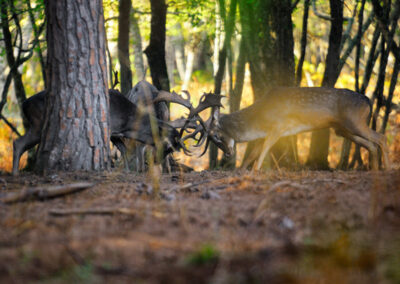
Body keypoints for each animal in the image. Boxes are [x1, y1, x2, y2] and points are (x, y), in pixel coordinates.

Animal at [188, 87, 390, 170]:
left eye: (215, 135)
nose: (228, 154)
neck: (259, 118)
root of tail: (369, 102)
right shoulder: (264, 134)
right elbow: (253, 153)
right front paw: (240, 170)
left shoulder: (278, 127)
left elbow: (263, 152)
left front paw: (255, 171)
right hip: (342, 129)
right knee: (372, 144)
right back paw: (374, 170)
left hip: (355, 121)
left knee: (381, 137)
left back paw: (387, 168)